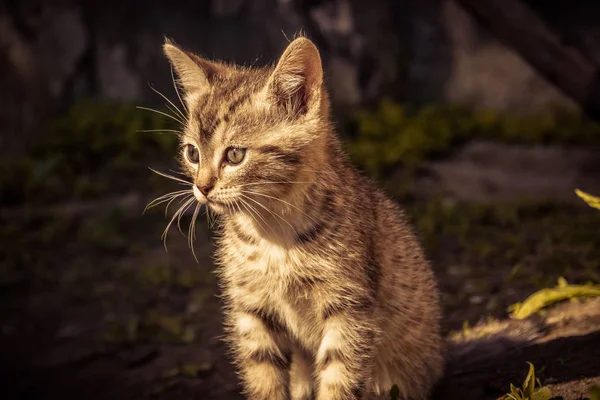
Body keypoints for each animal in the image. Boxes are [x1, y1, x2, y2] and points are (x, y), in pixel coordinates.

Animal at [162, 35, 442, 400]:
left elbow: (339, 379)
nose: (202, 186)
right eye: (192, 153)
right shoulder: (252, 309)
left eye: (235, 155)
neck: (272, 235)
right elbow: (264, 377)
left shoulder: (350, 310)